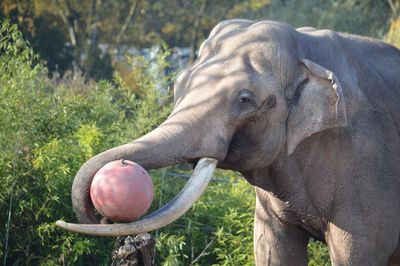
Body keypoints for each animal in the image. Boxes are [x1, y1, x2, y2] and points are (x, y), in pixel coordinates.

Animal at [56, 19, 400, 264]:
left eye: (245, 100)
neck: (305, 47)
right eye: (178, 84)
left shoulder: (366, 170)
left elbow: (354, 254)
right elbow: (271, 248)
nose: (103, 215)